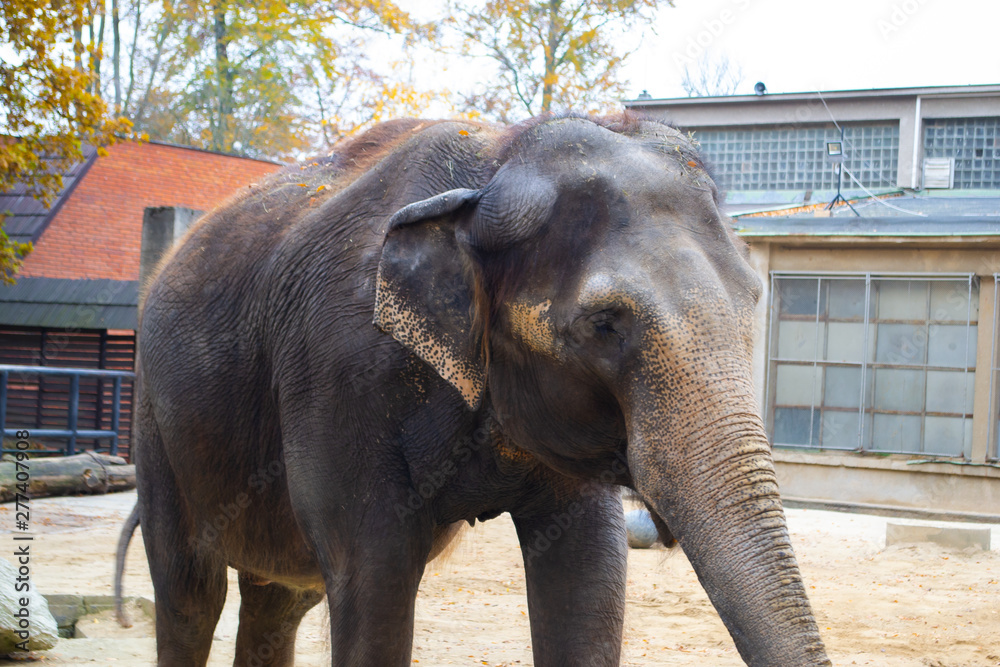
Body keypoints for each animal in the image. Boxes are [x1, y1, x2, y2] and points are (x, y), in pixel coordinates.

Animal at [119, 113, 830, 666]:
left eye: (755, 298)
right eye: (605, 323)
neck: (494, 163)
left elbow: (588, 574)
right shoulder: (335, 371)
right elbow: (373, 578)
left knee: (280, 600)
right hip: (155, 419)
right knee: (190, 593)